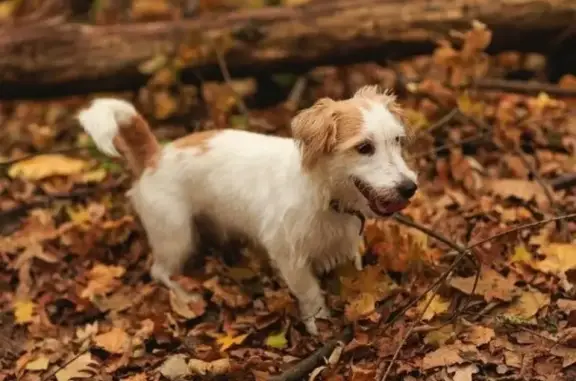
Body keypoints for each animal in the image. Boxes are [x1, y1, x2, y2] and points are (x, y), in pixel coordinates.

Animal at [76, 85, 418, 332]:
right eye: (364, 148)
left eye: (398, 141)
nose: (409, 188)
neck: (324, 195)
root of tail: (154, 156)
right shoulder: (290, 258)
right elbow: (310, 293)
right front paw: (319, 324)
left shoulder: (345, 245)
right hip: (175, 236)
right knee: (159, 271)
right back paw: (185, 295)